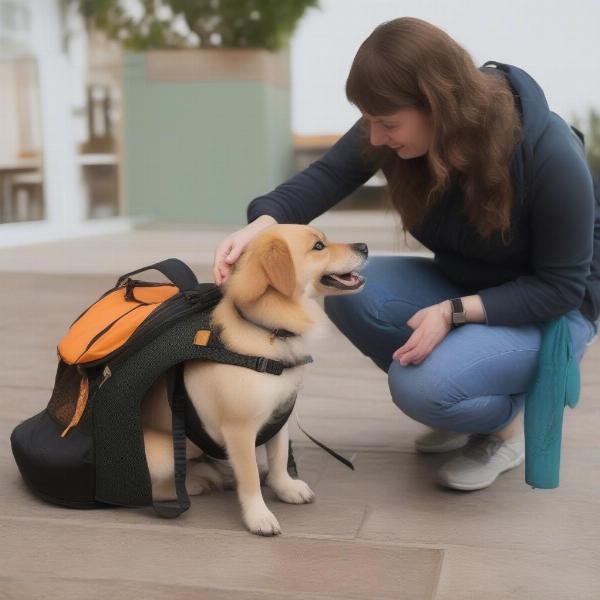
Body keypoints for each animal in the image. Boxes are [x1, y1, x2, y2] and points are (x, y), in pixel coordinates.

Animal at [142, 224, 366, 536]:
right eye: (319, 246)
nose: (365, 247)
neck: (269, 332)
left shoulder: (279, 414)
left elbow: (280, 456)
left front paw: (285, 488)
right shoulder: (240, 429)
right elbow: (248, 478)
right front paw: (258, 516)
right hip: (169, 450)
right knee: (154, 488)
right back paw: (194, 484)